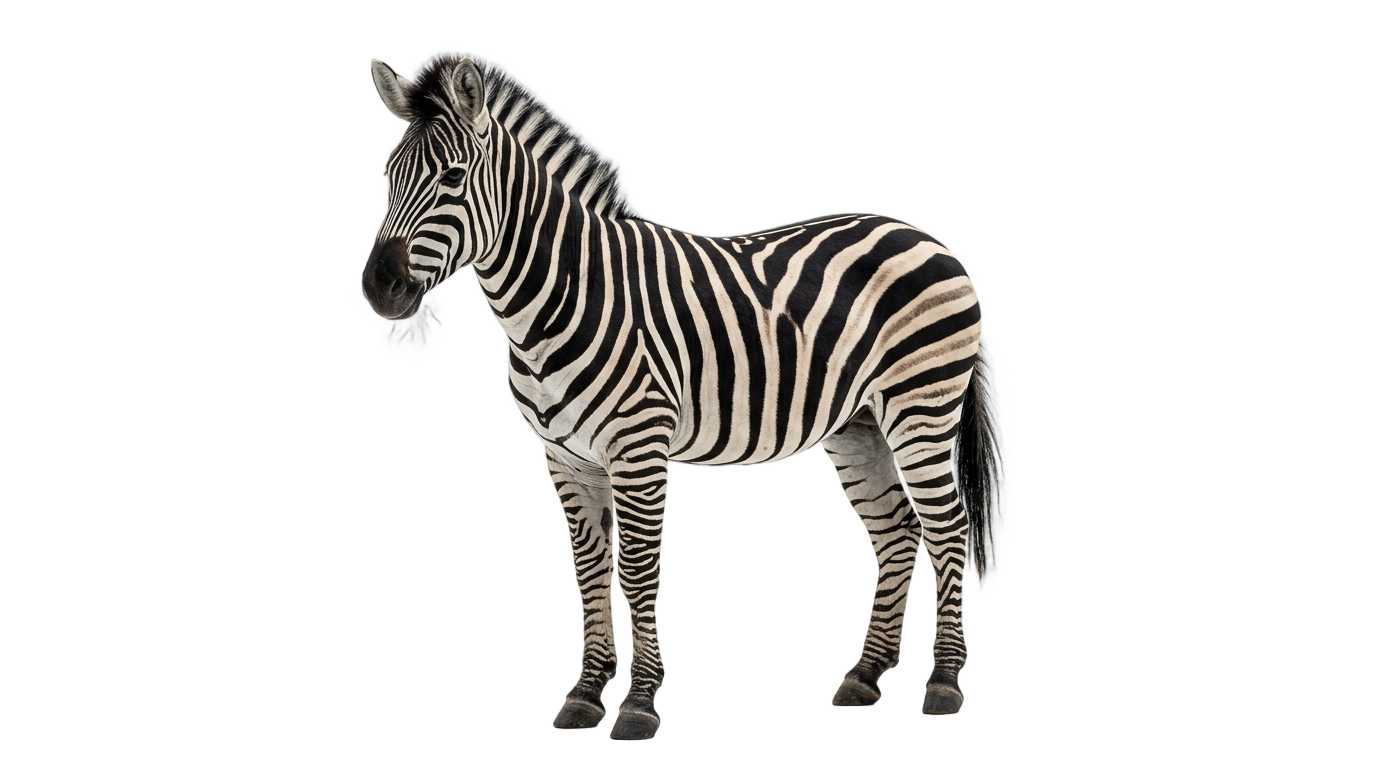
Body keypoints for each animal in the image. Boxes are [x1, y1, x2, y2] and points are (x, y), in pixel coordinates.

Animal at [358, 53, 1000, 741]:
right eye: (390, 177)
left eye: (452, 178)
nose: (378, 285)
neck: (561, 298)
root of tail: (917, 233)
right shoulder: (564, 455)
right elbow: (589, 567)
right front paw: (586, 692)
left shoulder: (638, 445)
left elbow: (638, 567)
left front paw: (640, 706)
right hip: (859, 425)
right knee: (894, 532)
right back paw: (864, 676)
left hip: (920, 407)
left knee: (949, 528)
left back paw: (944, 684)